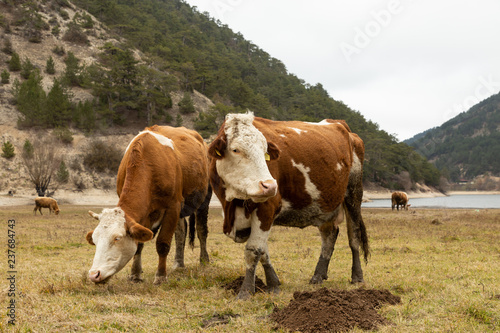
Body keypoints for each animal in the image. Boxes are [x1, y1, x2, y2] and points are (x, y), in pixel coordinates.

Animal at [86, 126, 211, 284]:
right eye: (95, 240)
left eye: (117, 238)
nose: (94, 274)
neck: (147, 163)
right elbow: (139, 244)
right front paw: (135, 274)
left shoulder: (173, 207)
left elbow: (163, 243)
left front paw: (161, 276)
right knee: (181, 232)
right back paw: (178, 264)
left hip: (204, 199)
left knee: (201, 230)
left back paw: (204, 260)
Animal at [207, 111, 368, 298]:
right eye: (235, 149)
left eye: (265, 151)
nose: (270, 186)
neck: (233, 203)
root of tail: (342, 126)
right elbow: (264, 252)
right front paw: (273, 284)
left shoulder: (267, 208)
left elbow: (253, 250)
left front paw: (246, 291)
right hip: (325, 204)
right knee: (329, 235)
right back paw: (318, 276)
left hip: (353, 193)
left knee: (354, 235)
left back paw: (357, 276)